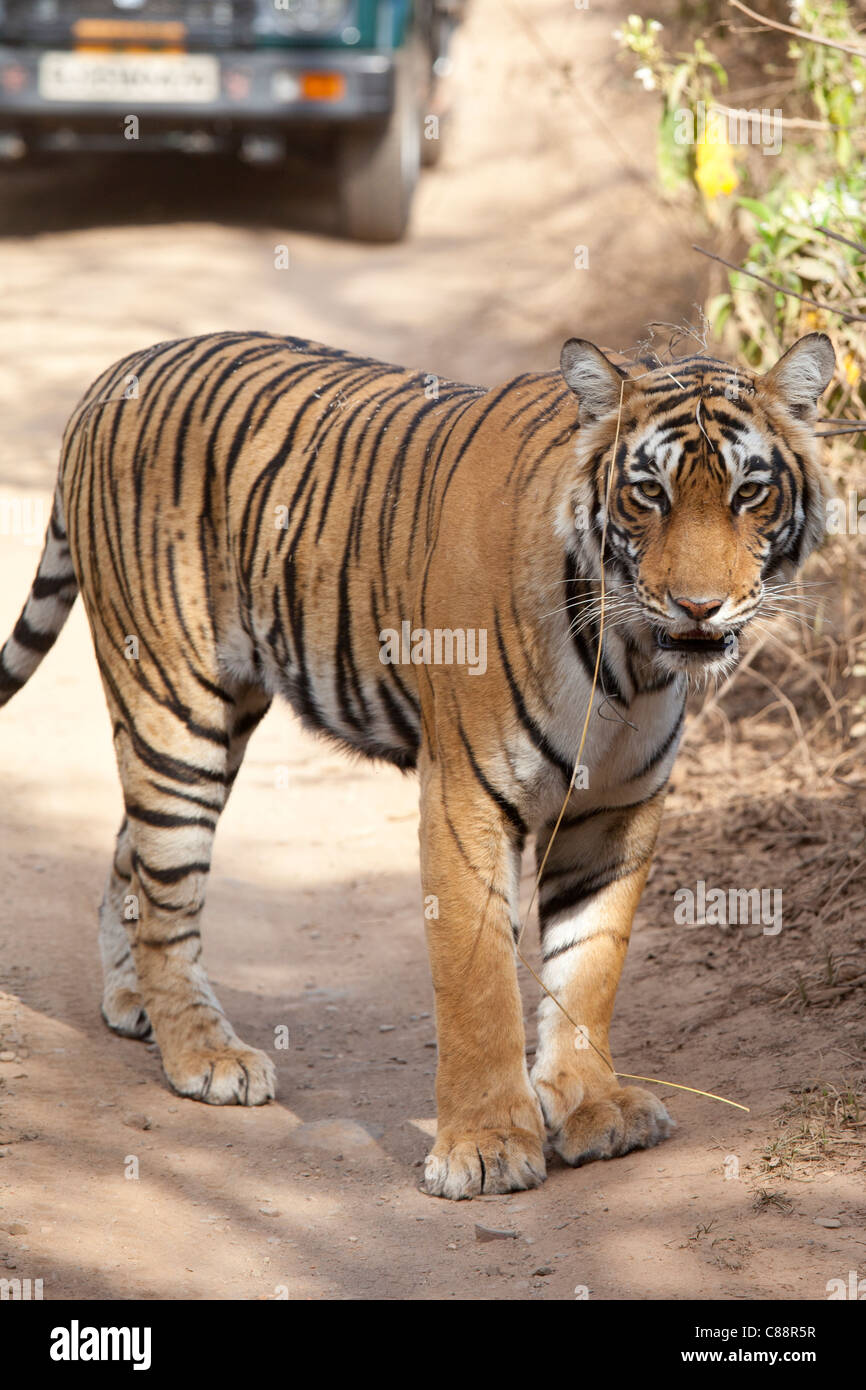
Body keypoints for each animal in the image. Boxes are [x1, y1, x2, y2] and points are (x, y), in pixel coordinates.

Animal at [3, 325, 839, 1195]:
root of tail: (118, 369)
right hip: (174, 704)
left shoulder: (617, 807)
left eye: (749, 494)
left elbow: (589, 966)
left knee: (130, 850)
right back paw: (204, 1053)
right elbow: (479, 984)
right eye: (648, 494)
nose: (699, 608)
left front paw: (592, 1107)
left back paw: (131, 999)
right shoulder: (468, 795)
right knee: (169, 882)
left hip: (217, 717)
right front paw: (486, 1147)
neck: (631, 657)